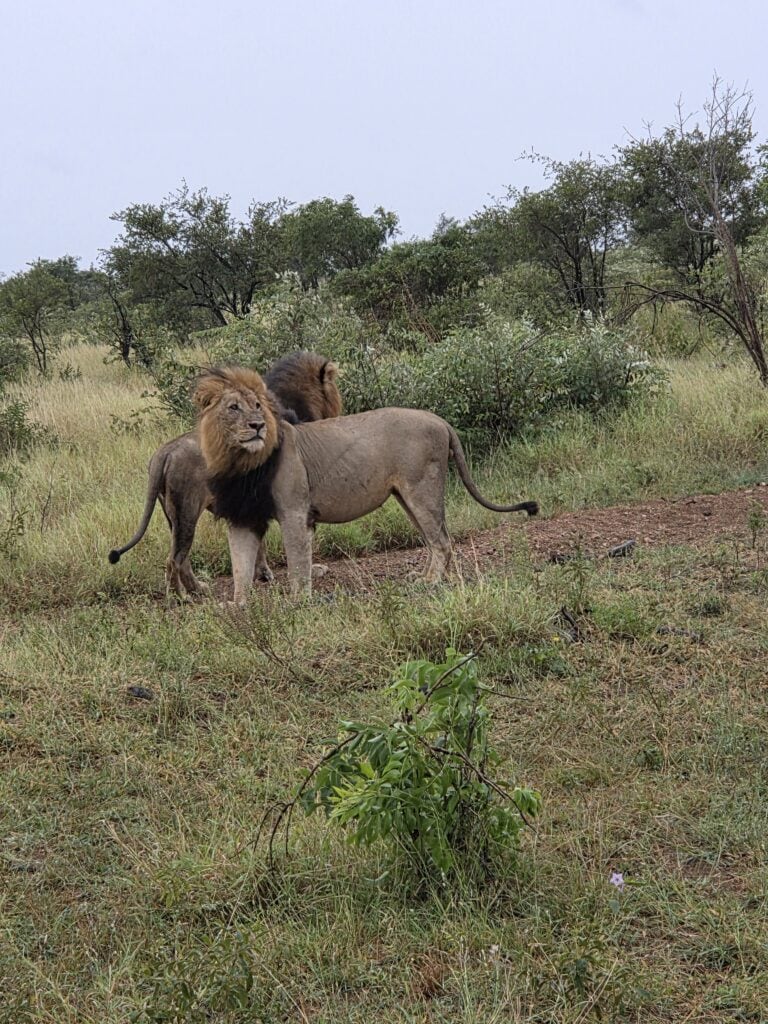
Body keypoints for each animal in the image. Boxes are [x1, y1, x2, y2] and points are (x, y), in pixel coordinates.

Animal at [108, 352, 341, 597]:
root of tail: (166, 451)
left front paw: (261, 573)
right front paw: (311, 569)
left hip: (172, 515)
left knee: (181, 557)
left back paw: (197, 589)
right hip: (187, 511)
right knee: (174, 560)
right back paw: (181, 598)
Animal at [194, 366, 538, 606]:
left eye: (257, 405)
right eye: (234, 408)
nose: (258, 426)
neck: (240, 462)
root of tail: (439, 420)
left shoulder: (294, 511)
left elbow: (297, 562)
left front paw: (298, 601)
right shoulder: (243, 517)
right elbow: (240, 566)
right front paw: (237, 605)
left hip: (421, 489)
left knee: (441, 541)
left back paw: (430, 582)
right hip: (406, 496)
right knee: (436, 539)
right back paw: (427, 576)